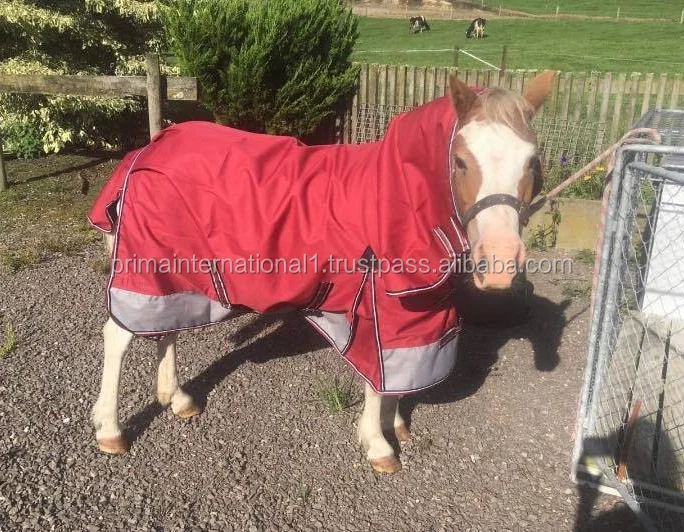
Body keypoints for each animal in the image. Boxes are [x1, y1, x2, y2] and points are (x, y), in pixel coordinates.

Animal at [89, 71, 554, 473]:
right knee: (118, 337)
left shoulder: (418, 312)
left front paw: (395, 425)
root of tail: (146, 150)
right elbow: (377, 380)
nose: (499, 263)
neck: (399, 197)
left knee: (165, 328)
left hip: (176, 273)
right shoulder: (380, 307)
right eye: (459, 161)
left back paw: (176, 397)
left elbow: (399, 374)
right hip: (144, 264)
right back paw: (110, 429)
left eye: (533, 161)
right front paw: (378, 444)